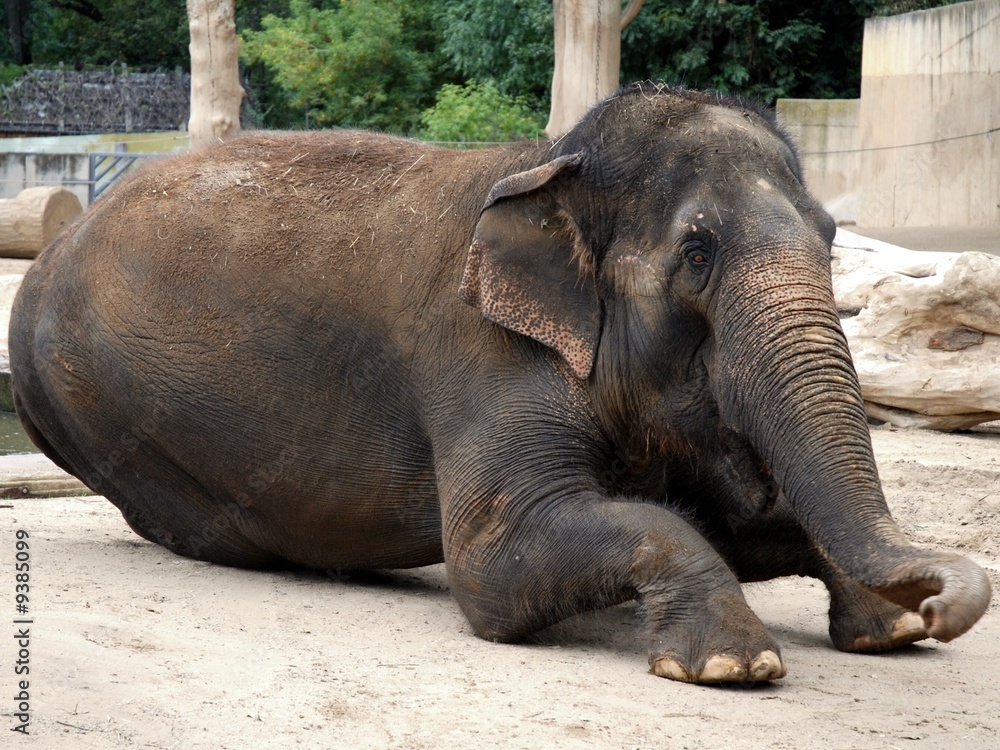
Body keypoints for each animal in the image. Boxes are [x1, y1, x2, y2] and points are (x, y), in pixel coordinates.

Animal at [9, 82, 990, 684]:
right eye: (698, 254)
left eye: (830, 237)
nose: (942, 600)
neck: (557, 161)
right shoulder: (484, 354)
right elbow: (495, 557)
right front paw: (731, 666)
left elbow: (711, 516)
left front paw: (890, 631)